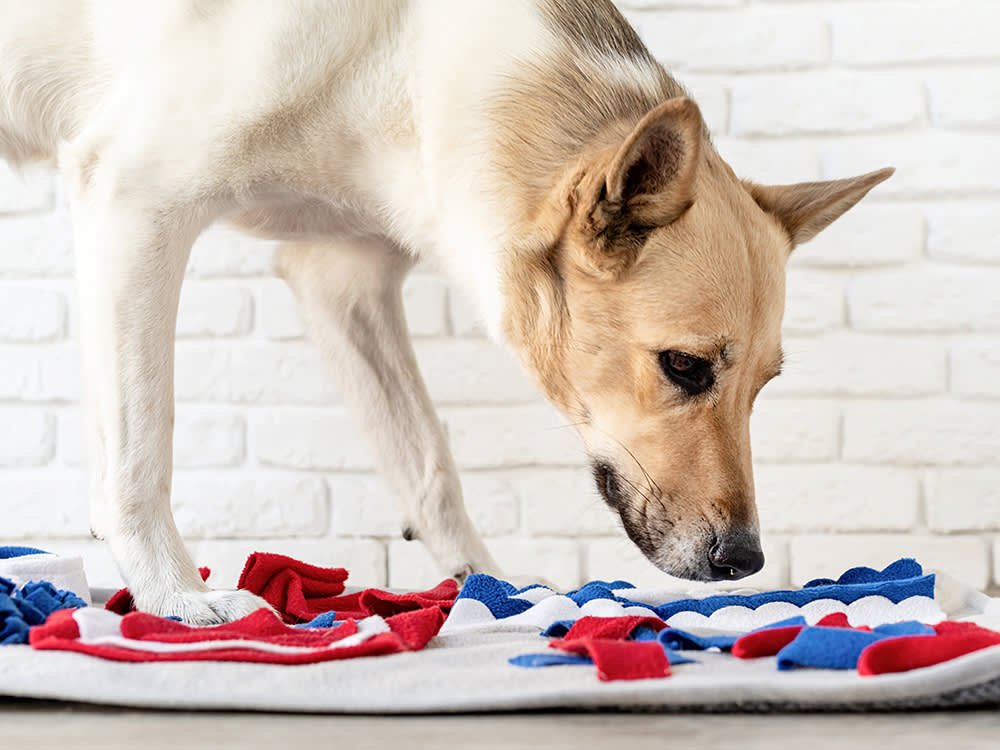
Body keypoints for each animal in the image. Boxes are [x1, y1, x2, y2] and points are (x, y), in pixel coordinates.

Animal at [0, 0, 892, 624]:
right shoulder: (136, 204)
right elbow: (141, 444)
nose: (745, 562)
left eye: (766, 386)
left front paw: (485, 585)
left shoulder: (341, 277)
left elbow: (427, 459)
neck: (402, 56)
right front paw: (178, 598)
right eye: (684, 366)